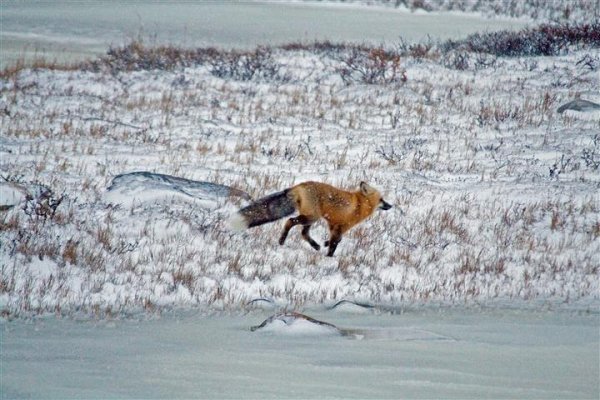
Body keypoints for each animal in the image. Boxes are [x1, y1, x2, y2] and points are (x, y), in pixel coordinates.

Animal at [227, 181, 392, 256]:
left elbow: (336, 240)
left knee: (303, 233)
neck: (359, 204)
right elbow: (335, 243)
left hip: (311, 218)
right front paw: (329, 257)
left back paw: (315, 245)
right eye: (382, 199)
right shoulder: (340, 226)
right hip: (311, 217)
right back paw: (282, 240)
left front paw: (324, 244)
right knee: (290, 222)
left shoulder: (333, 224)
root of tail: (298, 186)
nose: (390, 205)